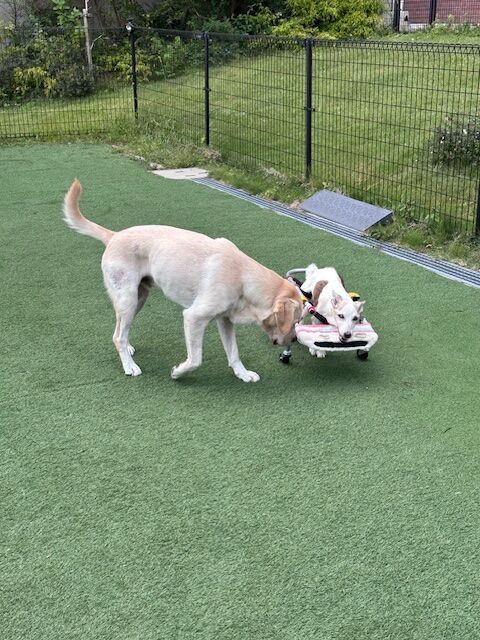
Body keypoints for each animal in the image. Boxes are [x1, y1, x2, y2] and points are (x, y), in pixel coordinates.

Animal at [62, 180, 303, 382]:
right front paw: (178, 372)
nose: (294, 341)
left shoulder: (225, 320)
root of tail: (113, 235)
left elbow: (234, 352)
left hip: (137, 299)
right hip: (128, 299)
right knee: (118, 336)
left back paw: (127, 350)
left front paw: (243, 374)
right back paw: (129, 366)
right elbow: (195, 359)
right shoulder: (193, 317)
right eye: (296, 321)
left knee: (119, 330)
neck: (244, 277)